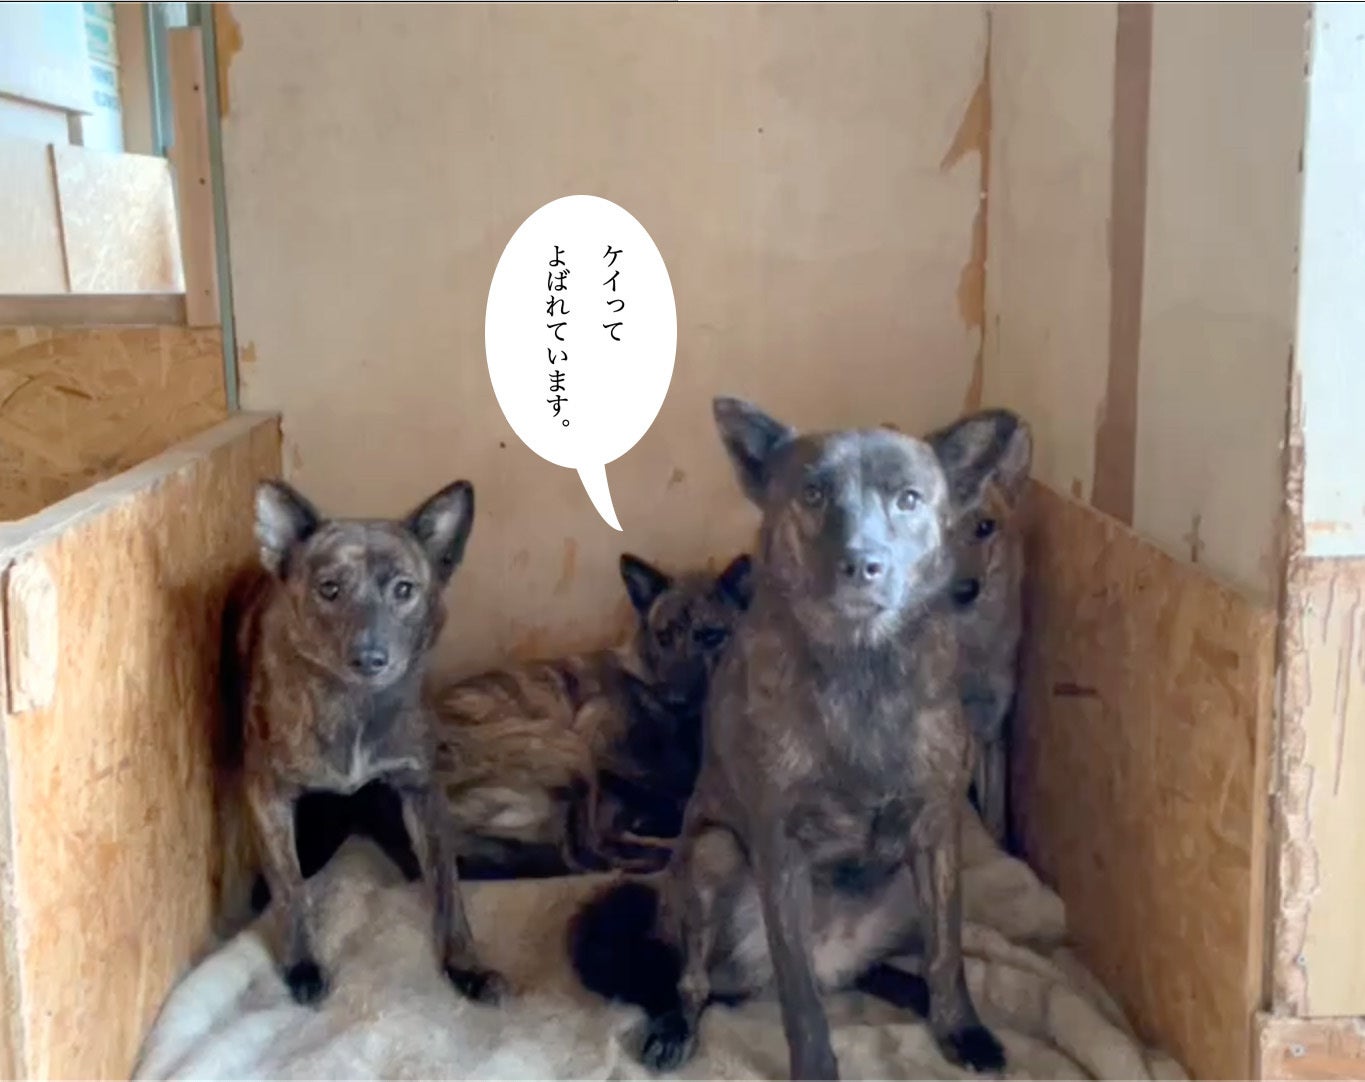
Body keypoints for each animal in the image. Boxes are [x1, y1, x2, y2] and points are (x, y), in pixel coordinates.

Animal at [221, 478, 504, 1007]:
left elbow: (448, 885)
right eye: (329, 588)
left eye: (404, 589)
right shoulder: (267, 795)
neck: (355, 707)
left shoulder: (422, 790)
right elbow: (290, 889)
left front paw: (465, 965)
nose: (370, 657)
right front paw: (302, 964)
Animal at [434, 552, 753, 879]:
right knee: (590, 852)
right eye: (663, 636)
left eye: (712, 636)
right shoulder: (596, 740)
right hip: (570, 752)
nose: (674, 699)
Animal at [570, 398, 1004, 1080]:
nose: (862, 566)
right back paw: (675, 1025)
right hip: (711, 854)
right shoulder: (781, 853)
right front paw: (817, 1069)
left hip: (908, 887)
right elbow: (800, 999)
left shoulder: (938, 834)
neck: (860, 666)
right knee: (693, 979)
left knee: (873, 970)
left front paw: (960, 1026)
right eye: (813, 494)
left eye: (908, 498)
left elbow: (948, 954)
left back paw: (912, 995)